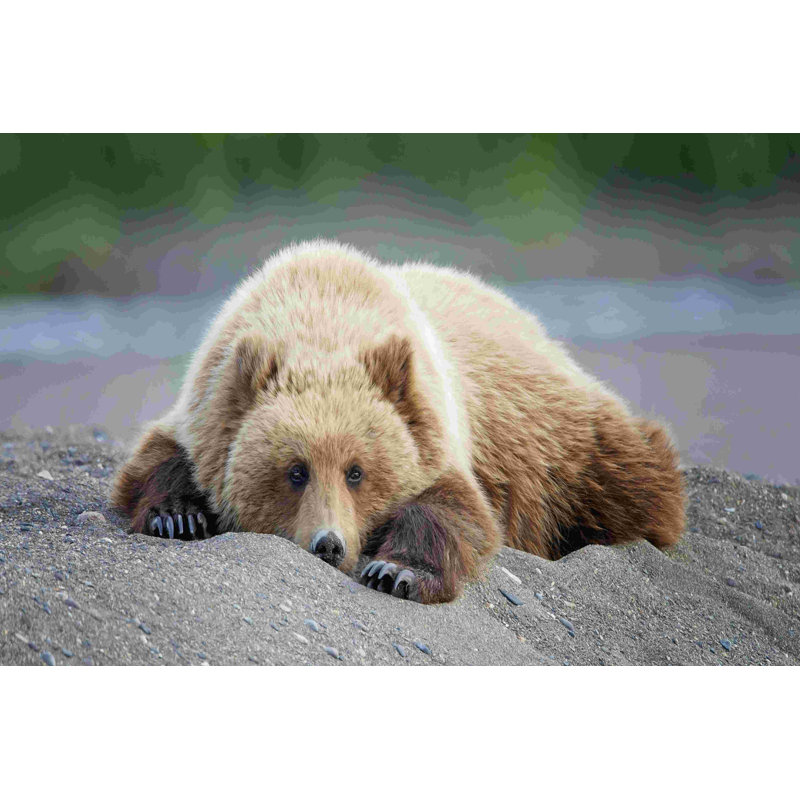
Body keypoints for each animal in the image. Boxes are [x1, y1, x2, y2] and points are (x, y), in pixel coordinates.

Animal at [111, 239, 686, 604]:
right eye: (296, 470)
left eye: (356, 471)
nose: (328, 544)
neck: (321, 312)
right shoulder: (207, 404)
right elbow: (157, 460)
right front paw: (178, 517)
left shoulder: (433, 427)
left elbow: (454, 510)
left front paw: (395, 570)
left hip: (557, 438)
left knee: (625, 476)